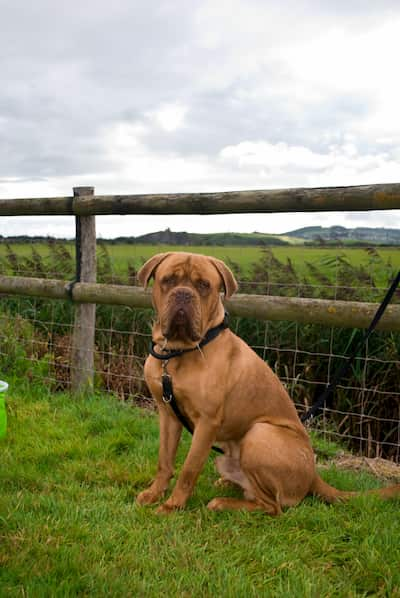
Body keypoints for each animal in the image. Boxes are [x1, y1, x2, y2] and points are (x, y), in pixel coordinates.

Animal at [137, 253, 400, 516]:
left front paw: (171, 506)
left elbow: (188, 470)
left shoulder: (207, 423)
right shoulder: (167, 414)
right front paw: (153, 494)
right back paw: (226, 484)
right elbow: (165, 461)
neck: (177, 353)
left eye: (204, 285)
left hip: (260, 433)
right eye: (168, 280)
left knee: (273, 507)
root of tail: (313, 475)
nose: (183, 294)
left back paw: (222, 503)